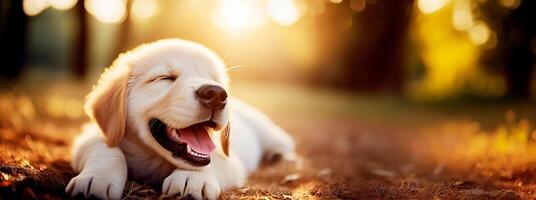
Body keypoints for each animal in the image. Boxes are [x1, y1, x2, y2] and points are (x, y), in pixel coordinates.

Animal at [66, 39, 298, 200]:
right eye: (164, 78)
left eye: (216, 81)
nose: (217, 94)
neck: (153, 158)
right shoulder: (91, 136)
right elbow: (107, 150)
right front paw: (97, 178)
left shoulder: (230, 159)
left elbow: (211, 161)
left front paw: (192, 179)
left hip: (267, 129)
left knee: (283, 143)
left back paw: (282, 157)